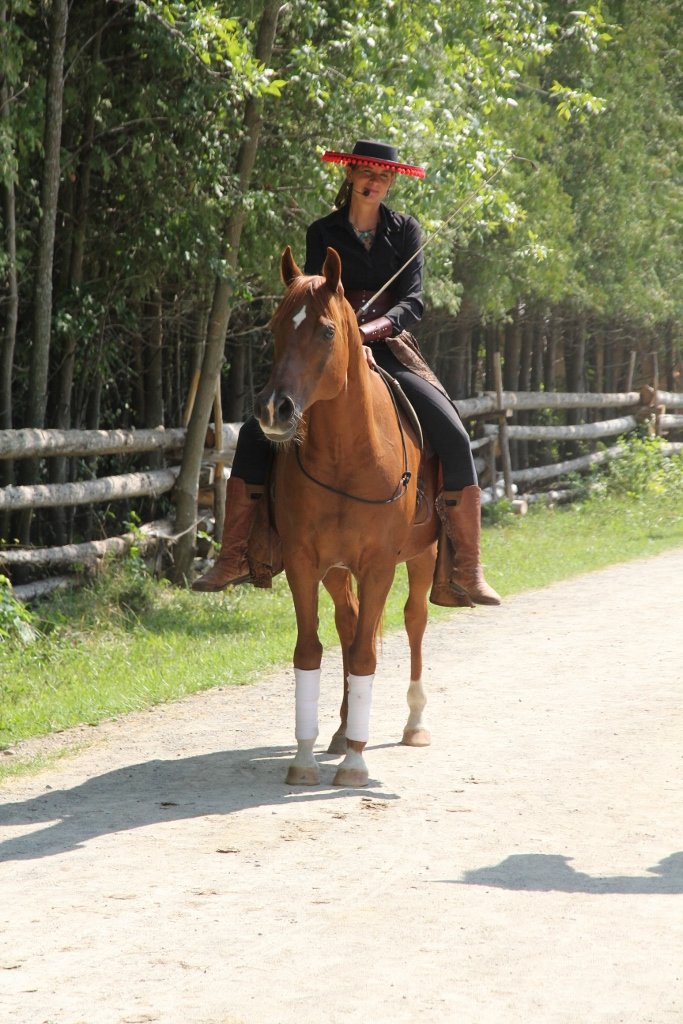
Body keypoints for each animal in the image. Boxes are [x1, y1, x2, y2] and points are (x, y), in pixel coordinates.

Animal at [253, 246, 439, 787]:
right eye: (275, 326)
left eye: (326, 331)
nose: (274, 409)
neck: (346, 456)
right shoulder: (304, 563)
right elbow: (311, 650)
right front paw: (305, 758)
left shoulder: (378, 566)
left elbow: (365, 654)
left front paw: (355, 763)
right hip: (337, 571)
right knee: (350, 621)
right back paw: (339, 730)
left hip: (423, 554)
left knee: (414, 619)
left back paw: (414, 722)